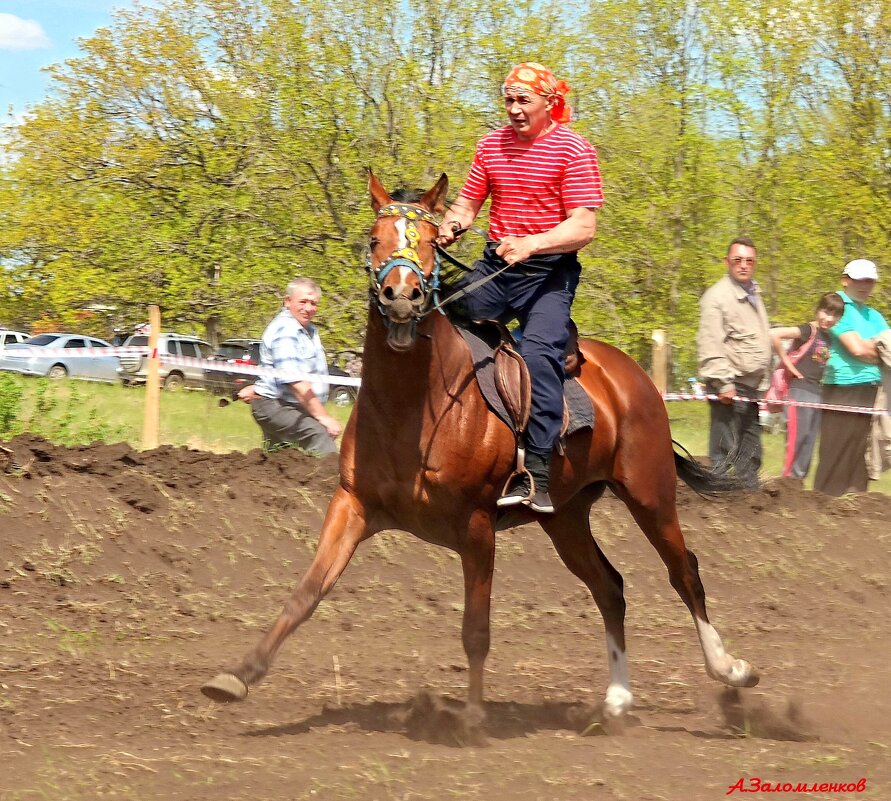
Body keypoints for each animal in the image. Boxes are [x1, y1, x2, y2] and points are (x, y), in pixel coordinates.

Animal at [202, 170, 760, 720]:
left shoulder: (476, 526)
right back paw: (618, 698)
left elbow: (476, 629)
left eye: (430, 243)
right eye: (374, 239)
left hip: (650, 495)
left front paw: (471, 719)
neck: (416, 405)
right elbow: (307, 593)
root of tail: (633, 376)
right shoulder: (353, 504)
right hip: (566, 517)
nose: (401, 297)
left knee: (684, 573)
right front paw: (236, 676)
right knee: (610, 587)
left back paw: (731, 670)